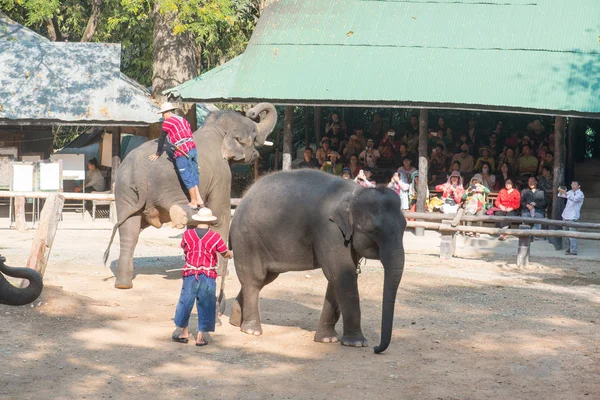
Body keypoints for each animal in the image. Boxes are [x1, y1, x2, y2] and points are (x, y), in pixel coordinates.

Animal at [104, 103, 278, 290]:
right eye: (253, 132)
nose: (252, 111)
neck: (216, 128)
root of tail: (139, 173)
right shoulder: (222, 175)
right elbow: (221, 215)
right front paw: (221, 273)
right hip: (172, 185)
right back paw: (180, 214)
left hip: (124, 190)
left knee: (129, 230)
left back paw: (123, 284)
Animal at [230, 169, 408, 354]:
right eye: (375, 231)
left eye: (404, 227)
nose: (376, 348)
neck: (354, 194)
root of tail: (243, 198)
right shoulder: (330, 230)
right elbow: (343, 275)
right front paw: (357, 343)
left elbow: (337, 278)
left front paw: (327, 340)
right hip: (246, 239)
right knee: (254, 279)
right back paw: (251, 331)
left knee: (263, 279)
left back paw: (235, 321)